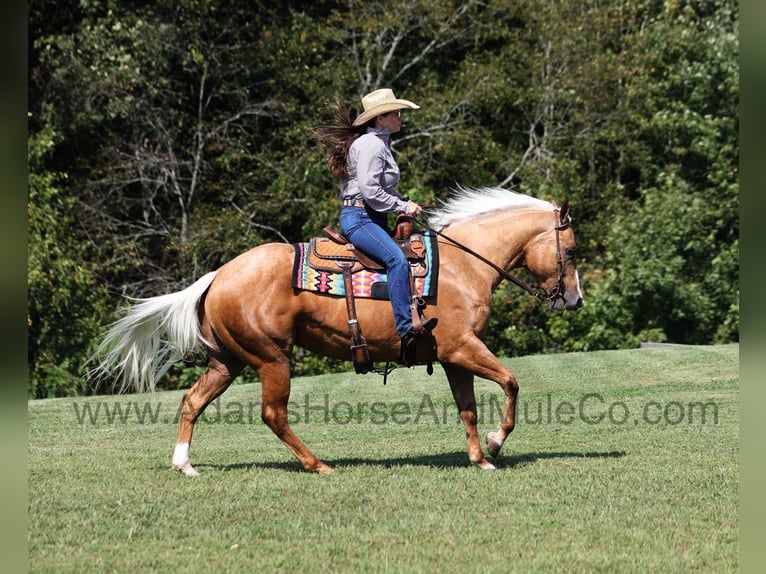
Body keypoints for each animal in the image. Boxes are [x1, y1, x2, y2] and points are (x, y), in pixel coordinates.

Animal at [91, 188, 584, 476]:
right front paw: (497, 445)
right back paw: (318, 465)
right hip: (272, 360)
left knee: (193, 401)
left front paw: (481, 459)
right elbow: (511, 383)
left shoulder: (452, 357)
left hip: (226, 362)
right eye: (573, 250)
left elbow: (468, 409)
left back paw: (184, 465)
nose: (575, 301)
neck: (464, 266)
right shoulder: (464, 347)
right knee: (273, 414)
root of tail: (218, 275)